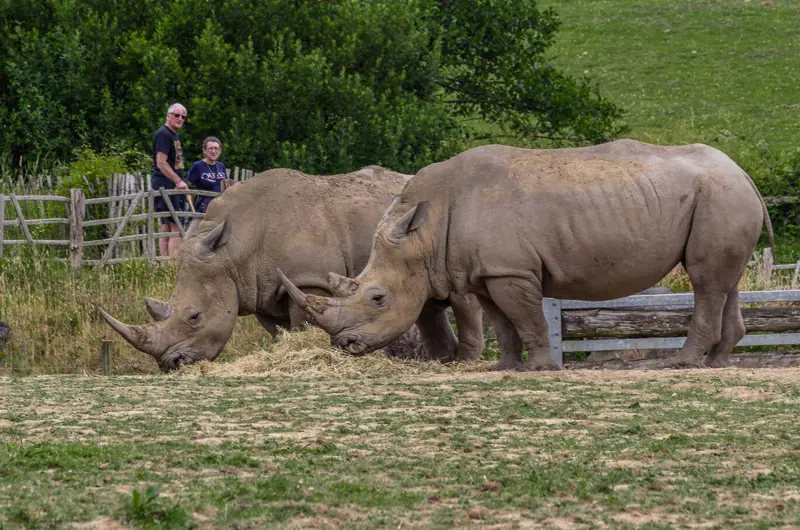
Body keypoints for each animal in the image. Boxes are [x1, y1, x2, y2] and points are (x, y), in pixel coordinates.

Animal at [100, 167, 484, 372]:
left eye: (194, 317)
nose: (171, 365)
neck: (234, 249)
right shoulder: (260, 289)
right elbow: (281, 332)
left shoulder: (309, 281)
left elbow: (303, 324)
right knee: (427, 303)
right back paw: (439, 362)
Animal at [280, 140, 775, 370]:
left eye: (377, 298)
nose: (345, 346)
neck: (425, 231)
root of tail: (744, 173)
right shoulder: (486, 273)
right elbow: (502, 321)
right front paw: (505, 367)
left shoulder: (511, 270)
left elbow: (527, 316)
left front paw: (539, 369)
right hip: (721, 196)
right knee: (723, 280)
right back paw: (717, 362)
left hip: (720, 195)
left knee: (705, 280)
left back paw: (683, 363)